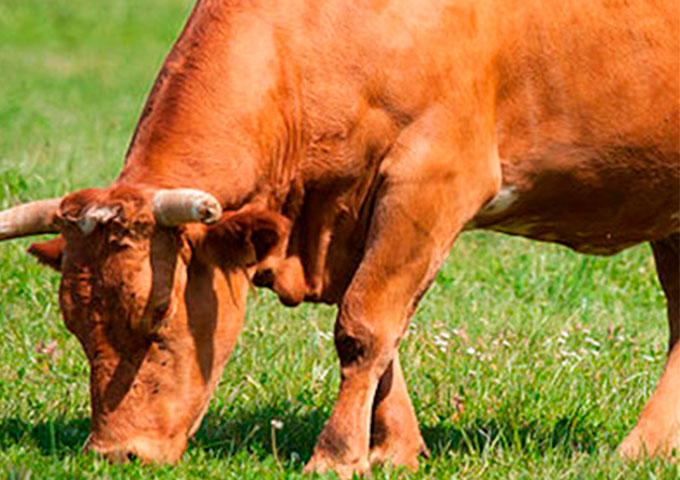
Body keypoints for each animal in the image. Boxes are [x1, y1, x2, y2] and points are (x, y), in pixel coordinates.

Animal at [1, 0, 680, 478]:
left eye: (159, 315)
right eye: (74, 326)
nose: (116, 454)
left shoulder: (434, 180)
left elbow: (364, 325)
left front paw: (335, 456)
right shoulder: (346, 215)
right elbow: (383, 333)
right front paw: (394, 450)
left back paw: (634, 449)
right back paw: (647, 450)